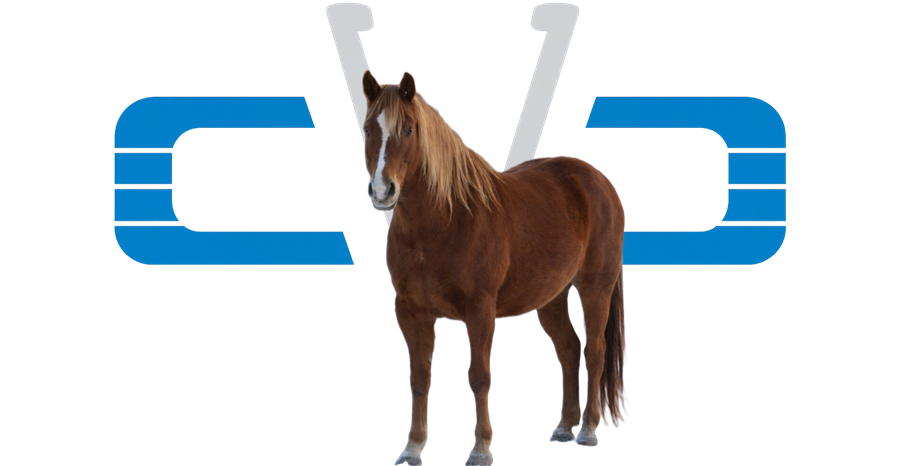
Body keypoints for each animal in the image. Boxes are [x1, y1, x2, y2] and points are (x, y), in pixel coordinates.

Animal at [362, 70, 628, 466]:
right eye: (367, 129)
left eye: (408, 129)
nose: (382, 191)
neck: (442, 221)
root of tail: (598, 182)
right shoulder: (411, 311)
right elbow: (420, 378)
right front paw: (412, 448)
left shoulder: (480, 310)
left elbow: (479, 376)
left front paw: (481, 448)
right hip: (552, 296)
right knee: (568, 350)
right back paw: (564, 427)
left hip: (596, 287)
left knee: (594, 352)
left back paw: (588, 429)